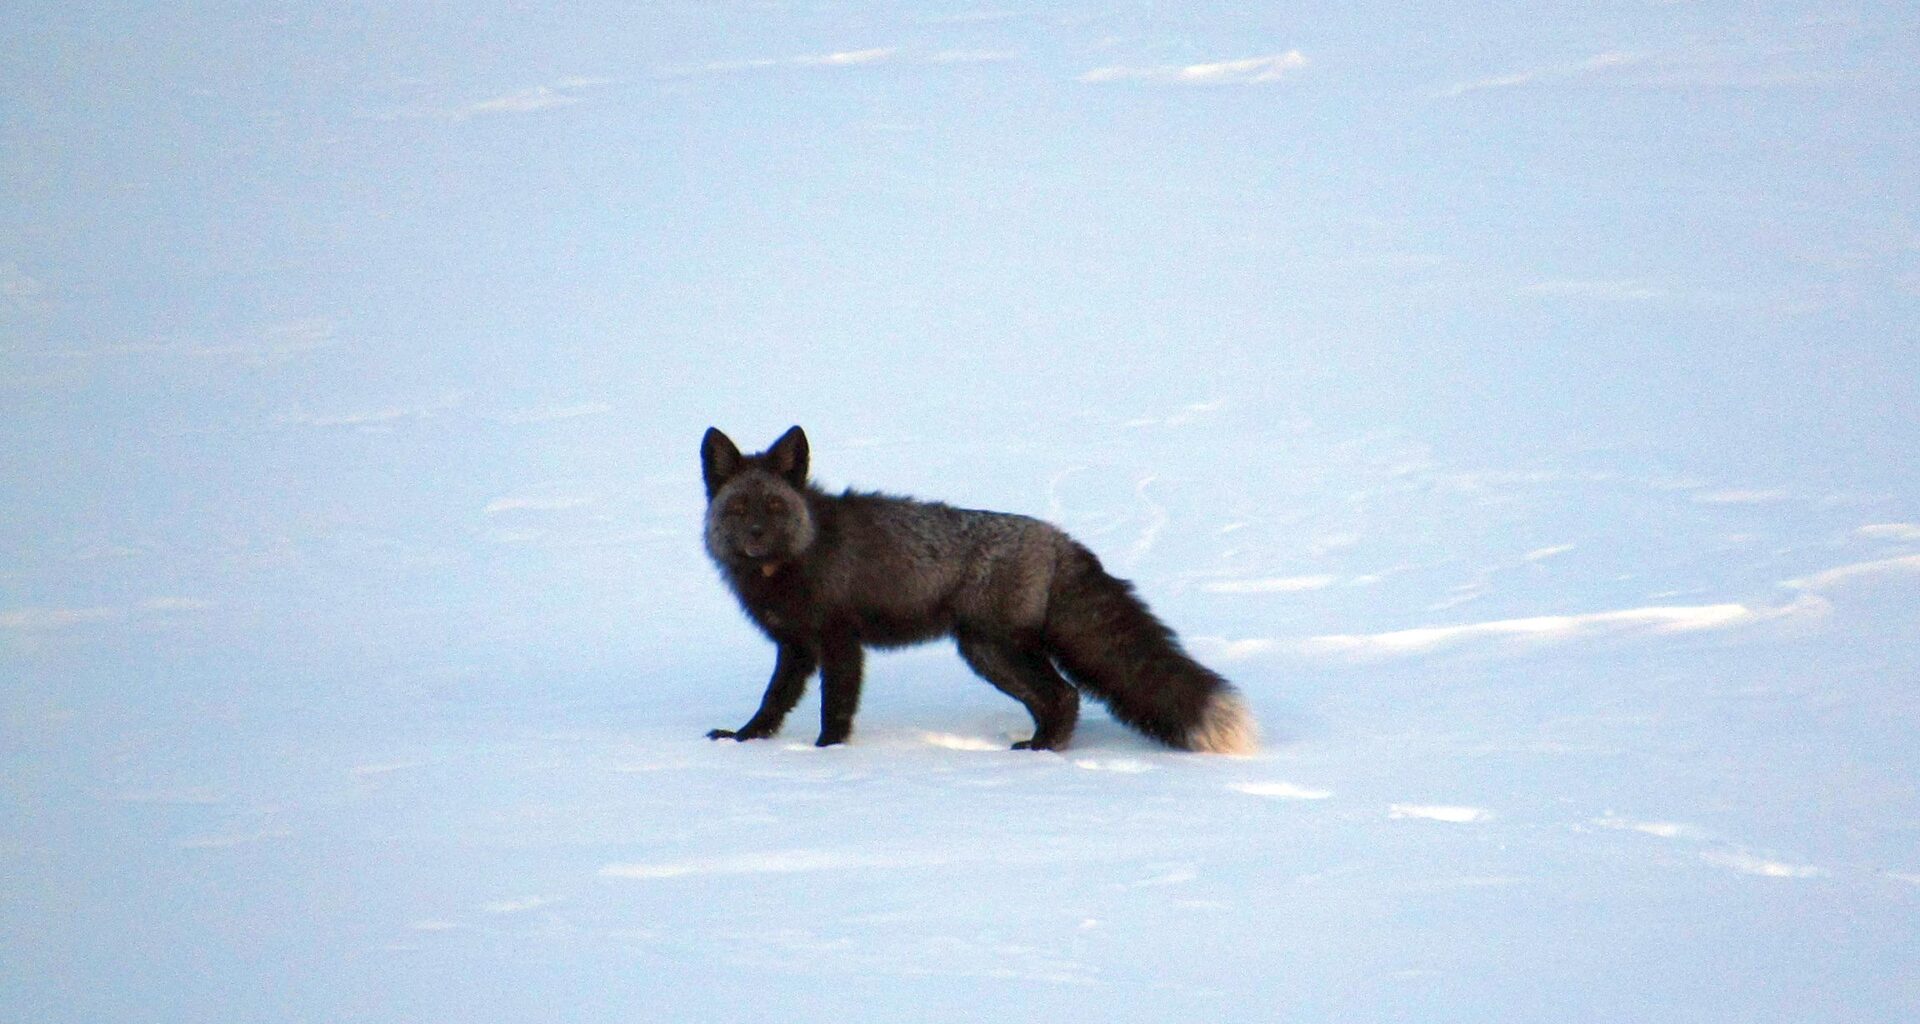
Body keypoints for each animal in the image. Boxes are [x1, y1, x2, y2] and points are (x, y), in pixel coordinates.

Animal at [700, 425, 1257, 754]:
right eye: (740, 509)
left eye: (775, 508)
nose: (755, 538)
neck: (793, 563)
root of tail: (1059, 539)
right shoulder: (794, 645)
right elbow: (773, 701)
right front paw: (745, 740)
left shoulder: (840, 642)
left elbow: (834, 708)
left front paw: (826, 757)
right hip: (989, 653)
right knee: (1058, 698)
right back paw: (1039, 745)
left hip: (991, 647)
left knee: (1065, 694)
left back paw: (1041, 751)